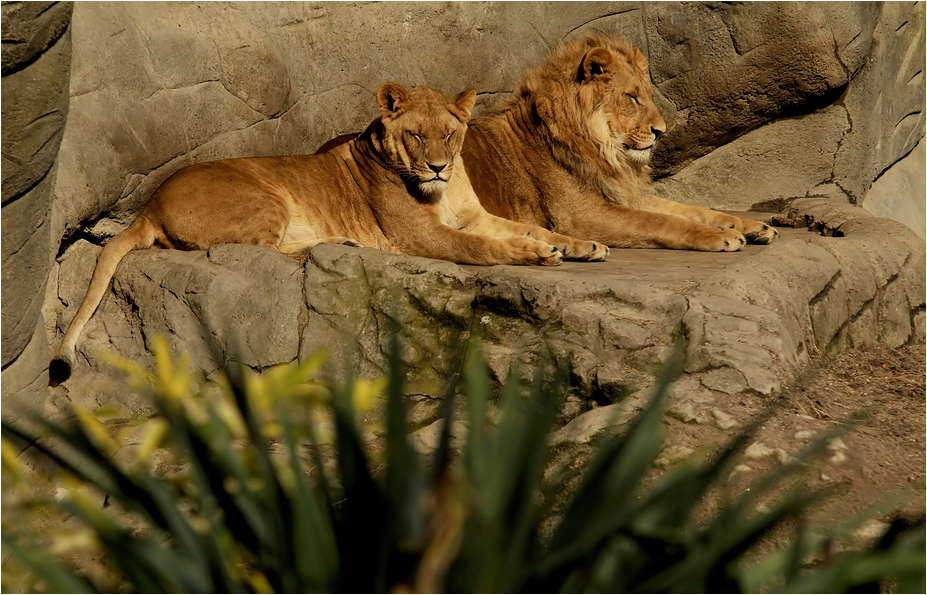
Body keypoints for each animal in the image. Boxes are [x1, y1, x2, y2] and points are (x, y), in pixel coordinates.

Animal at [51, 82, 608, 383]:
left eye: (450, 134)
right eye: (415, 135)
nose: (437, 167)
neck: (445, 192)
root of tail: (148, 204)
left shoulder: (474, 214)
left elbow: (531, 224)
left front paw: (580, 245)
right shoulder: (428, 238)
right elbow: (486, 247)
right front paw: (536, 254)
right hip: (265, 195)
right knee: (262, 250)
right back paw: (338, 244)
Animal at [462, 33, 778, 251]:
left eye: (647, 95)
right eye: (632, 97)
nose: (661, 131)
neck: (604, 150)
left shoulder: (622, 193)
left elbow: (691, 209)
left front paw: (753, 226)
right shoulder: (580, 216)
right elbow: (662, 220)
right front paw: (721, 236)